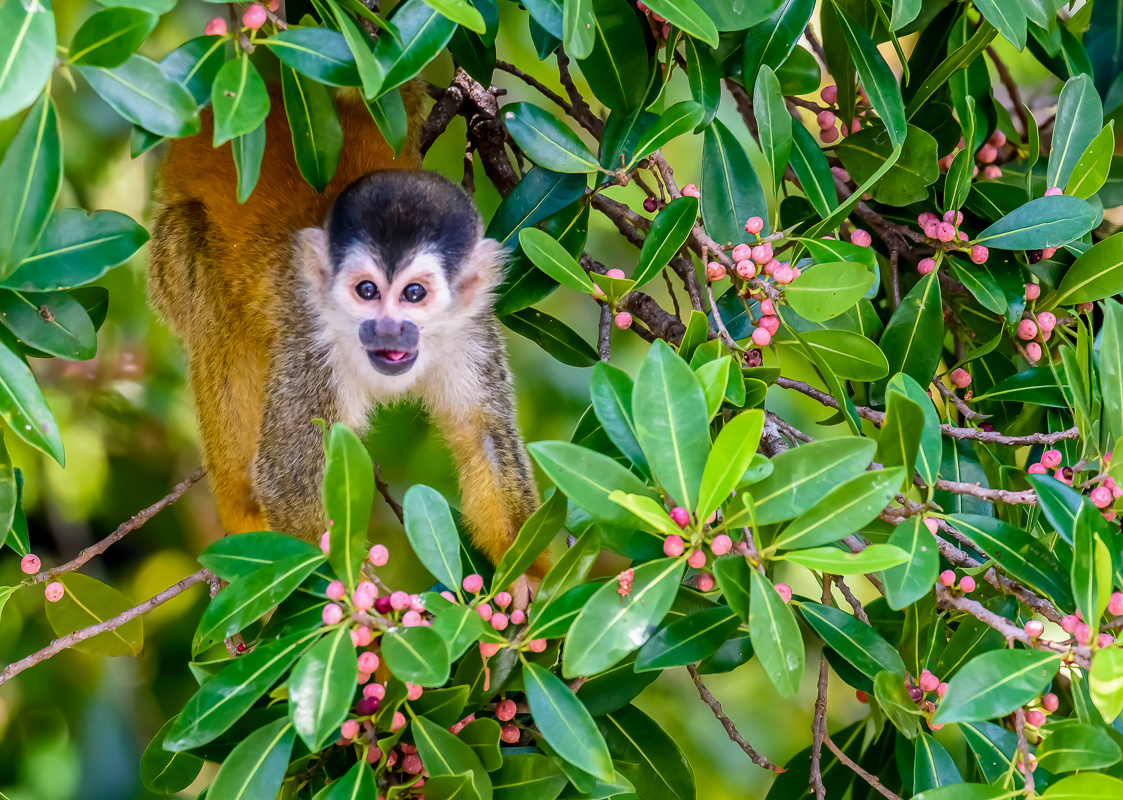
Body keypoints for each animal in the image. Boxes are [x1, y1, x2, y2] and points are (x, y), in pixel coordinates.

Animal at [147, 87, 541, 566]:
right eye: (365, 290)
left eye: (415, 294)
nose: (388, 329)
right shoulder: (313, 343)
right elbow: (290, 480)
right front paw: (355, 580)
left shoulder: (469, 331)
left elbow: (481, 433)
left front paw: (528, 571)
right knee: (205, 291)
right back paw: (241, 509)